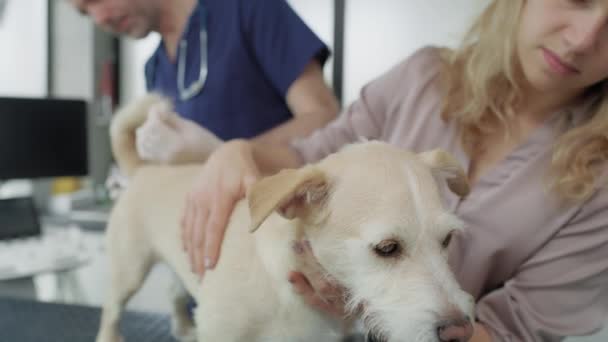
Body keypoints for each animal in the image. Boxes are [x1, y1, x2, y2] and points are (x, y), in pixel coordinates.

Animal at [96, 94, 476, 342]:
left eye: (446, 240)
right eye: (387, 248)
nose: (460, 331)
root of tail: (143, 169)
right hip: (128, 271)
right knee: (111, 312)